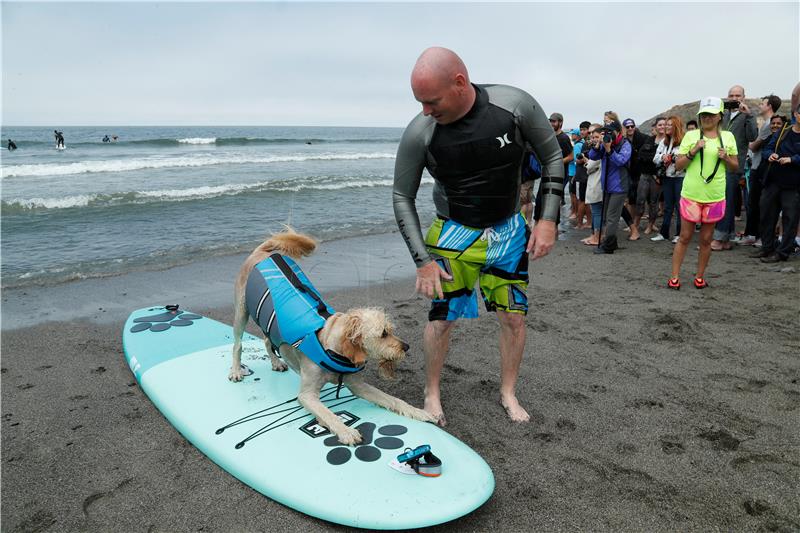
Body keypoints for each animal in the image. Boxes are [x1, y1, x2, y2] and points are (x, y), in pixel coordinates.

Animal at [228, 229, 434, 444]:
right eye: (383, 333)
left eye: (391, 330)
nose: (406, 347)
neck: (331, 348)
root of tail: (262, 252)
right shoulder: (307, 395)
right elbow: (328, 414)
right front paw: (346, 431)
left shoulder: (358, 386)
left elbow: (392, 399)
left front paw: (418, 411)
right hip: (241, 311)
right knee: (237, 345)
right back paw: (236, 370)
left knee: (268, 340)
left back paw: (276, 362)